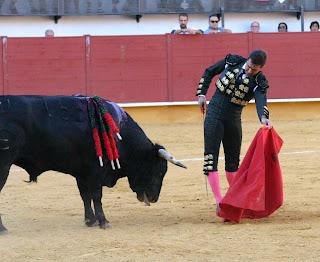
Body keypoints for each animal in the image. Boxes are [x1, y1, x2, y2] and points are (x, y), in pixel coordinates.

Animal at [0, 95, 185, 232]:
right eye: (160, 171)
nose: (154, 198)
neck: (120, 135)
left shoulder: (81, 173)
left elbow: (85, 195)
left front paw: (90, 220)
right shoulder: (96, 171)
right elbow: (96, 195)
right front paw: (103, 221)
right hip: (4, 166)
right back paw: (3, 229)